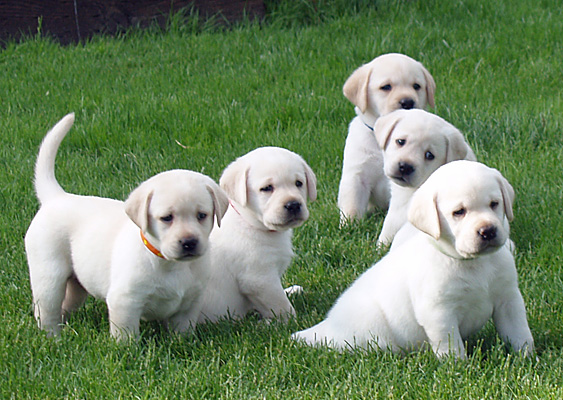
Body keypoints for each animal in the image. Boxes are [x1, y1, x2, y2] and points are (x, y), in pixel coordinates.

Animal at [24, 113, 227, 340]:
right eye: (166, 218)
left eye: (202, 215)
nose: (189, 242)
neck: (169, 264)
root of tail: (56, 197)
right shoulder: (125, 301)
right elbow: (126, 336)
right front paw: (127, 348)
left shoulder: (190, 303)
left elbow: (182, 331)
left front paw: (183, 343)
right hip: (49, 273)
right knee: (47, 310)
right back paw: (53, 337)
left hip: (77, 284)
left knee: (65, 304)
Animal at [197, 147, 318, 322]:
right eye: (267, 188)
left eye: (298, 183)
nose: (293, 205)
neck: (251, 223)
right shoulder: (259, 279)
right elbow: (281, 305)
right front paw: (290, 321)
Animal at [294, 161, 536, 358]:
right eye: (459, 212)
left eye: (494, 204)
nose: (488, 231)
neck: (474, 264)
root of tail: (326, 327)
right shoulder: (439, 313)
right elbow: (451, 348)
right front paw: (459, 368)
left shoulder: (509, 299)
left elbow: (519, 332)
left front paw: (527, 357)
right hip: (374, 330)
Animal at [338, 52, 438, 225]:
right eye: (386, 87)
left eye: (416, 86)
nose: (408, 102)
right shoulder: (357, 175)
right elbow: (352, 205)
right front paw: (349, 226)